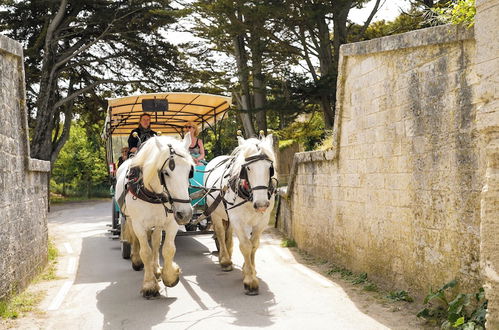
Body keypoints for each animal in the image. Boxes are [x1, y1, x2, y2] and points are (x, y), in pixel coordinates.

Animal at [116, 133, 194, 298]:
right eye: (166, 173)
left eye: (190, 171)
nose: (185, 214)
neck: (154, 193)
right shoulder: (139, 224)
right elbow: (145, 251)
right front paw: (149, 285)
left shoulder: (172, 222)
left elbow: (168, 248)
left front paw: (169, 276)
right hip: (130, 219)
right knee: (136, 240)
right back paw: (137, 261)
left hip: (158, 223)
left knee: (156, 240)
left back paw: (156, 268)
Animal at [205, 134, 280, 296]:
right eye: (248, 168)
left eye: (269, 168)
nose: (261, 204)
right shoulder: (238, 220)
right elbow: (245, 245)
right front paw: (250, 281)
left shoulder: (261, 221)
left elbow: (254, 245)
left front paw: (249, 270)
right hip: (215, 213)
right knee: (220, 234)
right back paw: (225, 260)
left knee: (228, 234)